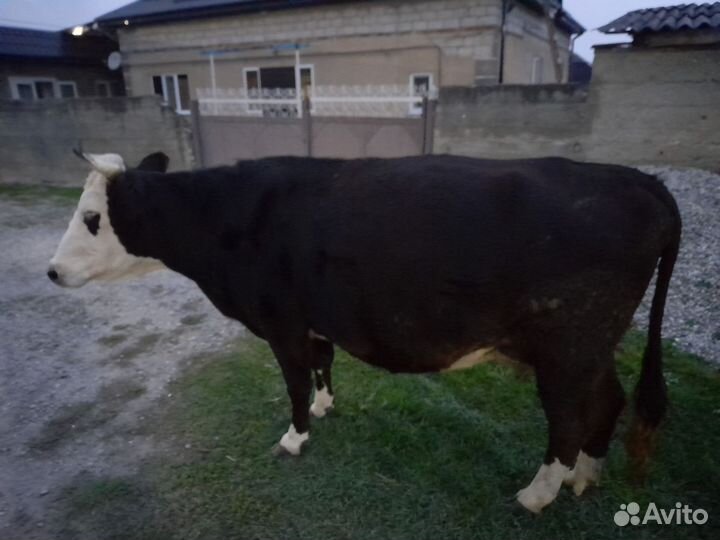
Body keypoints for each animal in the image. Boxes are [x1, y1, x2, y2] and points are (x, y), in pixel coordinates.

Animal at [48, 151, 681, 513]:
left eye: (91, 218)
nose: (52, 271)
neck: (226, 219)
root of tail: (636, 179)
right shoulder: (314, 317)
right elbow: (323, 363)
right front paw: (325, 408)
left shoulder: (280, 320)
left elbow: (294, 381)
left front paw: (294, 437)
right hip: (592, 345)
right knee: (610, 398)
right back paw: (586, 476)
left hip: (566, 347)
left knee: (568, 418)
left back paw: (539, 493)